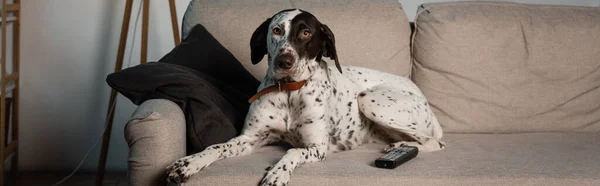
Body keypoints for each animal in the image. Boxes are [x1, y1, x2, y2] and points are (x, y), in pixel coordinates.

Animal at [166, 8, 442, 185]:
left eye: (306, 33)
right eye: (277, 30)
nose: (284, 61)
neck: (290, 92)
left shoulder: (316, 148)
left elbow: (292, 152)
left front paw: (277, 172)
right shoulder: (249, 139)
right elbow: (217, 146)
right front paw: (189, 164)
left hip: (368, 100)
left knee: (436, 142)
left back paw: (402, 146)